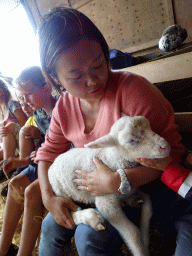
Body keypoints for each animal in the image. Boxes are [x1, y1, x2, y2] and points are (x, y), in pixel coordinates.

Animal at [48, 116, 170, 256]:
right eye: (131, 140)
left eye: (149, 126)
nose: (165, 146)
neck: (112, 158)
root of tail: (55, 161)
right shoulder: (106, 204)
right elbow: (133, 233)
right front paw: (141, 251)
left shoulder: (135, 189)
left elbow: (148, 207)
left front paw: (145, 241)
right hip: (60, 190)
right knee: (70, 212)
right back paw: (92, 218)